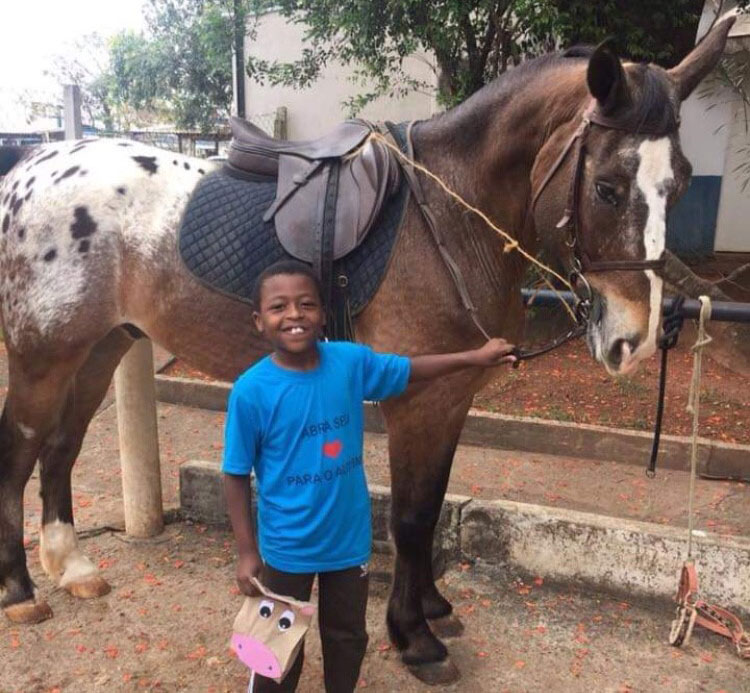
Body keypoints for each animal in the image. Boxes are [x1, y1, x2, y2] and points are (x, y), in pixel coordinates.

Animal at [0, 18, 736, 684]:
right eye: (607, 185)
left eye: (680, 181)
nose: (635, 338)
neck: (449, 214)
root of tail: (31, 168)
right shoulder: (419, 400)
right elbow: (409, 518)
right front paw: (414, 638)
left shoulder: (451, 398)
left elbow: (431, 508)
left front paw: (432, 609)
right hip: (44, 356)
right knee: (21, 451)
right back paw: (22, 592)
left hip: (100, 347)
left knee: (62, 448)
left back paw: (73, 566)